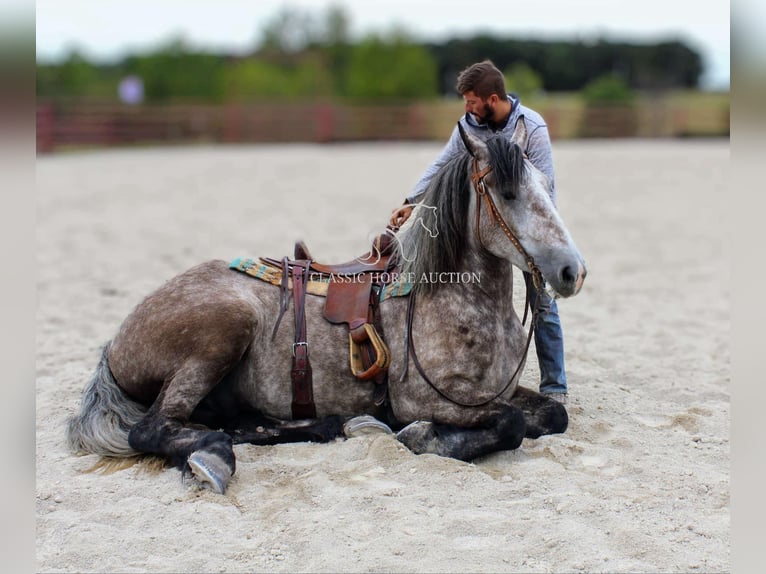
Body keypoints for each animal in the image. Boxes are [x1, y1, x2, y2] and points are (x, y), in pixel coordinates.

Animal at [69, 120, 592, 496]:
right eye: (508, 192)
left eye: (544, 182)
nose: (572, 270)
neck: (454, 302)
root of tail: (115, 344)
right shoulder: (427, 400)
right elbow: (510, 424)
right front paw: (419, 436)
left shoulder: (497, 392)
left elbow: (551, 416)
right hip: (223, 331)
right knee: (153, 429)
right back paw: (214, 455)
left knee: (234, 423)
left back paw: (330, 423)